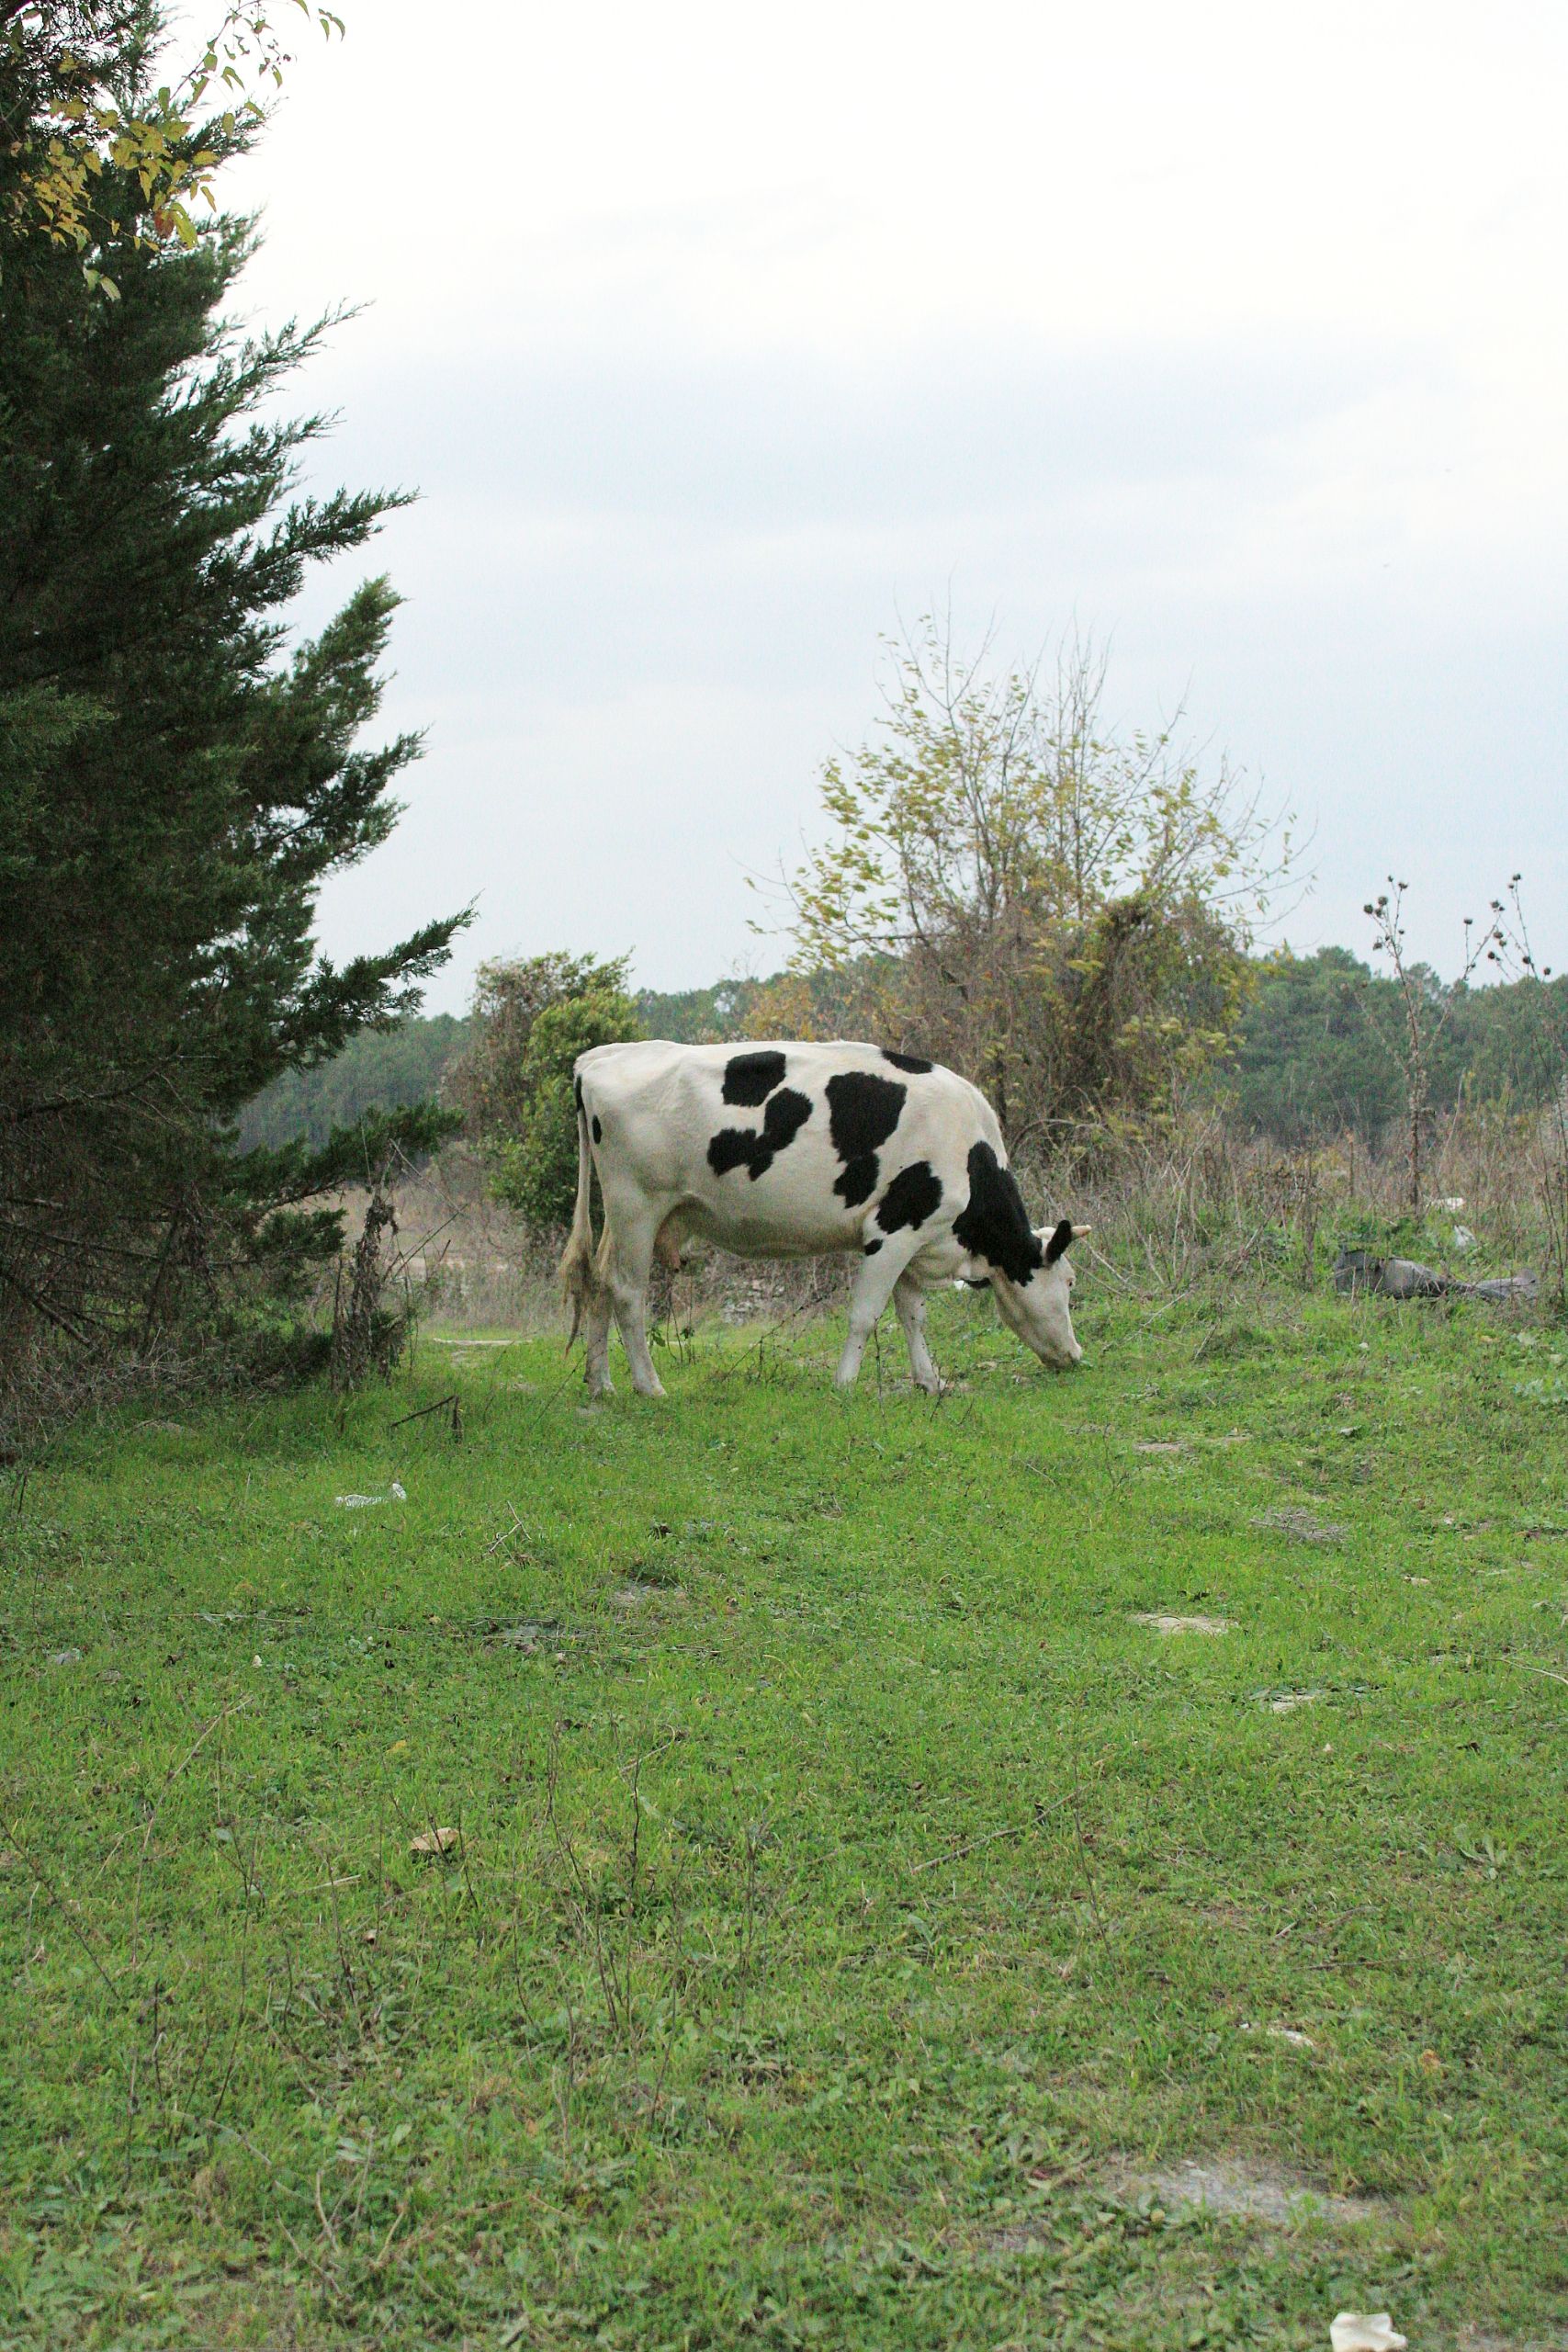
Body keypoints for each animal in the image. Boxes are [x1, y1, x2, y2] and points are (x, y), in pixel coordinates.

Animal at [559, 1039, 1087, 1397]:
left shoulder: (914, 1239)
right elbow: (865, 1315)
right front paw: (845, 1384)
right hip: (637, 1207)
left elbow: (912, 1314)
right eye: (1069, 1283)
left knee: (599, 1281)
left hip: (623, 1215)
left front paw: (930, 1381)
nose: (1075, 1356)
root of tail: (599, 1058)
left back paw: (600, 1384)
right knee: (627, 1292)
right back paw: (649, 1386)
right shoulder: (892, 1231)